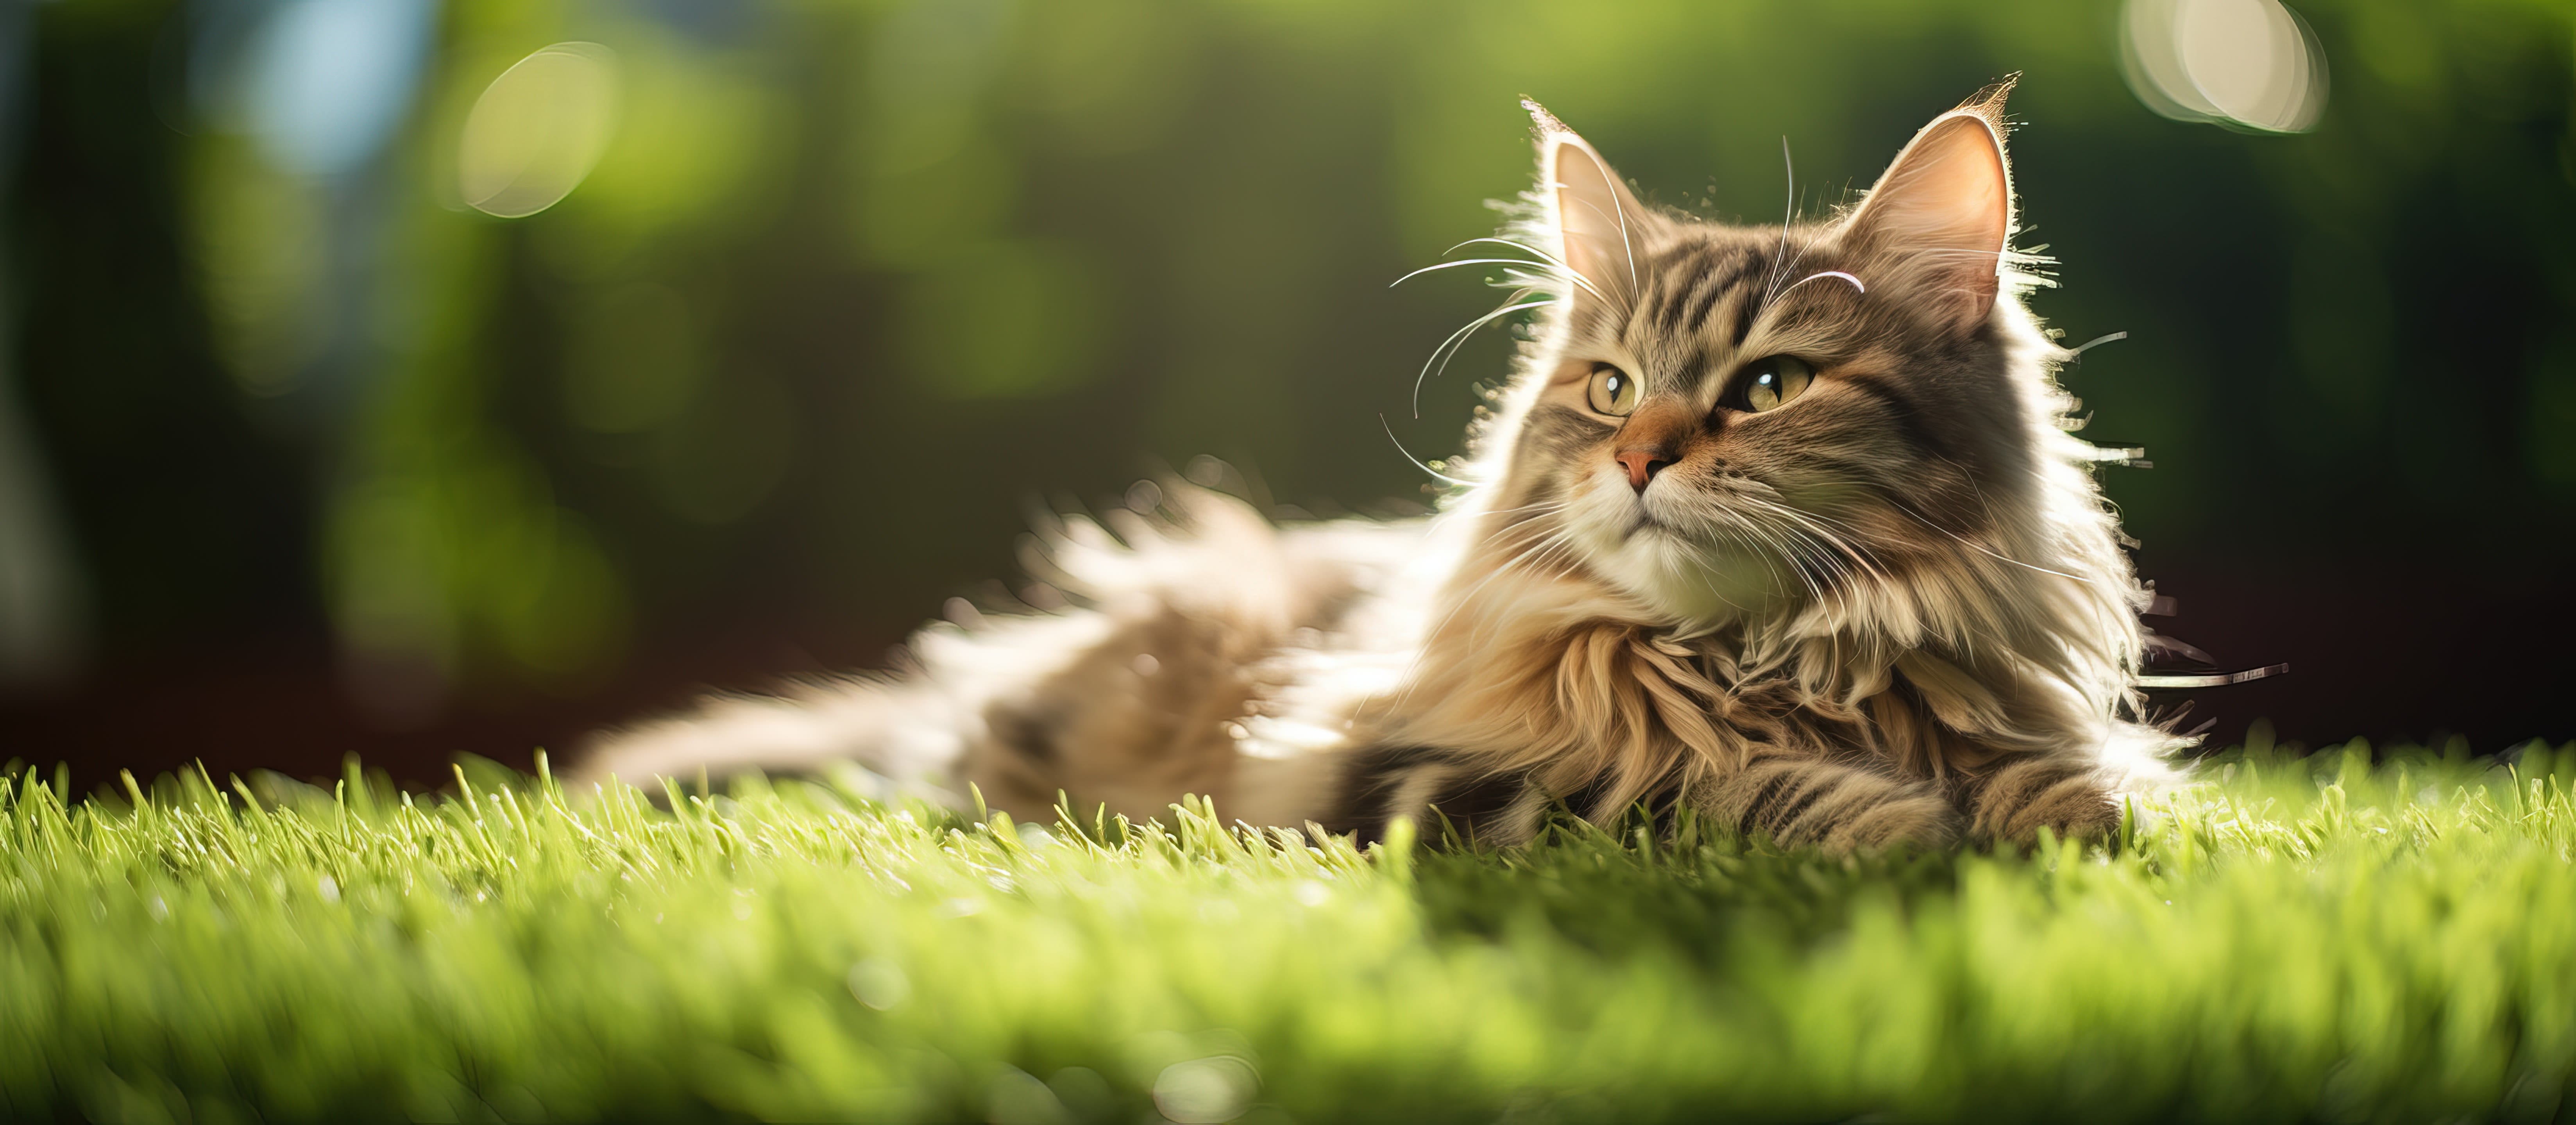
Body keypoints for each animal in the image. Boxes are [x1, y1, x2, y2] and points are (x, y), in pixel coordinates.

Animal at [580, 79, 2174, 849]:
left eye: (1770, 385)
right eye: (1608, 388)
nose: (1639, 457)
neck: (1766, 661)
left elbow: (2069, 780)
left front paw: (2064, 812)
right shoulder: (1395, 770)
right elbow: (1667, 787)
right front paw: (1896, 821)